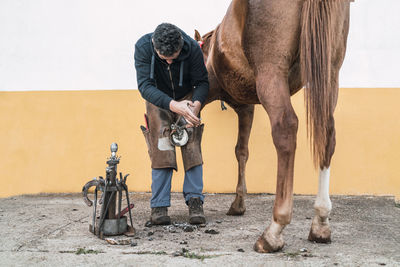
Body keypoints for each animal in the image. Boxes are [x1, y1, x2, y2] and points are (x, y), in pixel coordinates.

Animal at [195, 0, 352, 253]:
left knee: (286, 129)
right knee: (327, 134)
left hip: (271, 72)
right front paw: (238, 203)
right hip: (330, 71)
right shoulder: (247, 108)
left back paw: (274, 231)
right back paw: (320, 223)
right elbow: (242, 151)